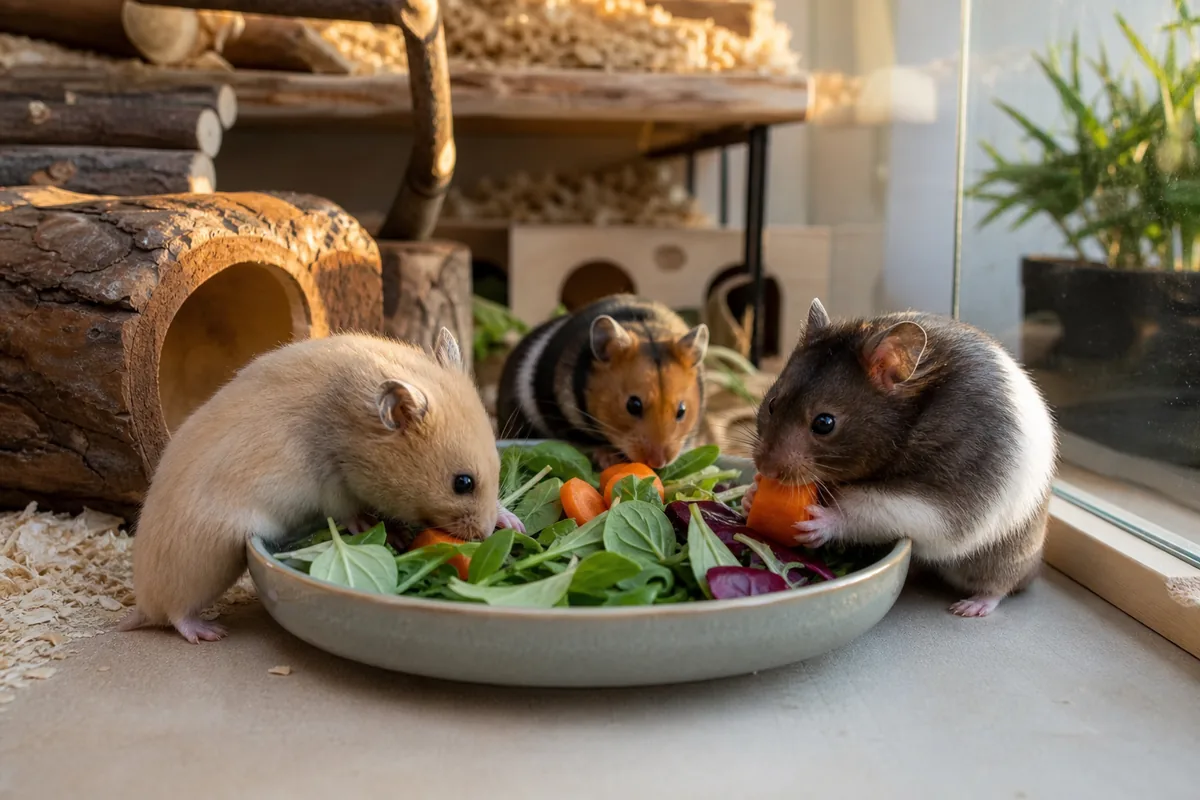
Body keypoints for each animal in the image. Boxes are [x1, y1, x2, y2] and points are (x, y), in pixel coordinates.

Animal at [120, 329, 521, 643]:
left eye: (497, 464)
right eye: (462, 483)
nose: (486, 535)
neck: (351, 432)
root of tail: (140, 605)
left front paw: (511, 521)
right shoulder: (332, 485)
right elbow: (348, 512)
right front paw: (379, 530)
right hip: (203, 566)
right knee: (174, 613)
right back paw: (209, 632)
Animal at [746, 299, 1057, 617]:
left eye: (824, 423)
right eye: (772, 404)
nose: (765, 469)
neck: (910, 416)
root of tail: (1034, 570)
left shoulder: (943, 495)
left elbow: (871, 508)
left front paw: (819, 521)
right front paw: (750, 493)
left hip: (1005, 556)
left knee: (999, 585)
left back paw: (970, 607)